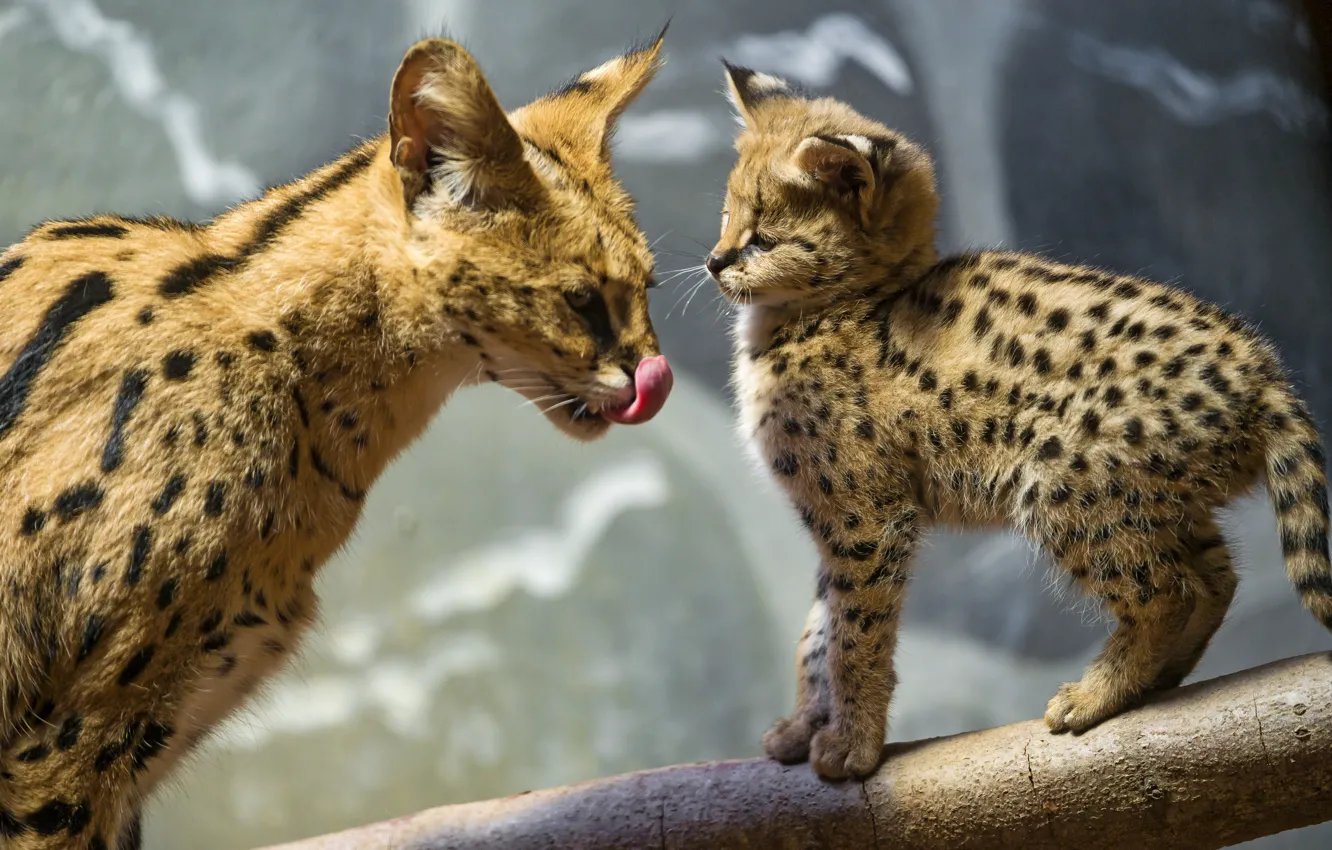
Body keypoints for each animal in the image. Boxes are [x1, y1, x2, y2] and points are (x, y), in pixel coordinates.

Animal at [707, 61, 1331, 781]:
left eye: (762, 239)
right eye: (725, 217)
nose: (713, 262)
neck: (833, 312)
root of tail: (1262, 370)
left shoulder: (866, 516)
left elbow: (854, 633)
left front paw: (852, 745)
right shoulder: (837, 518)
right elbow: (817, 631)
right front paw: (804, 727)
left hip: (1066, 483)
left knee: (1167, 593)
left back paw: (1094, 695)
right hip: (1150, 498)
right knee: (1215, 578)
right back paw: (1159, 679)